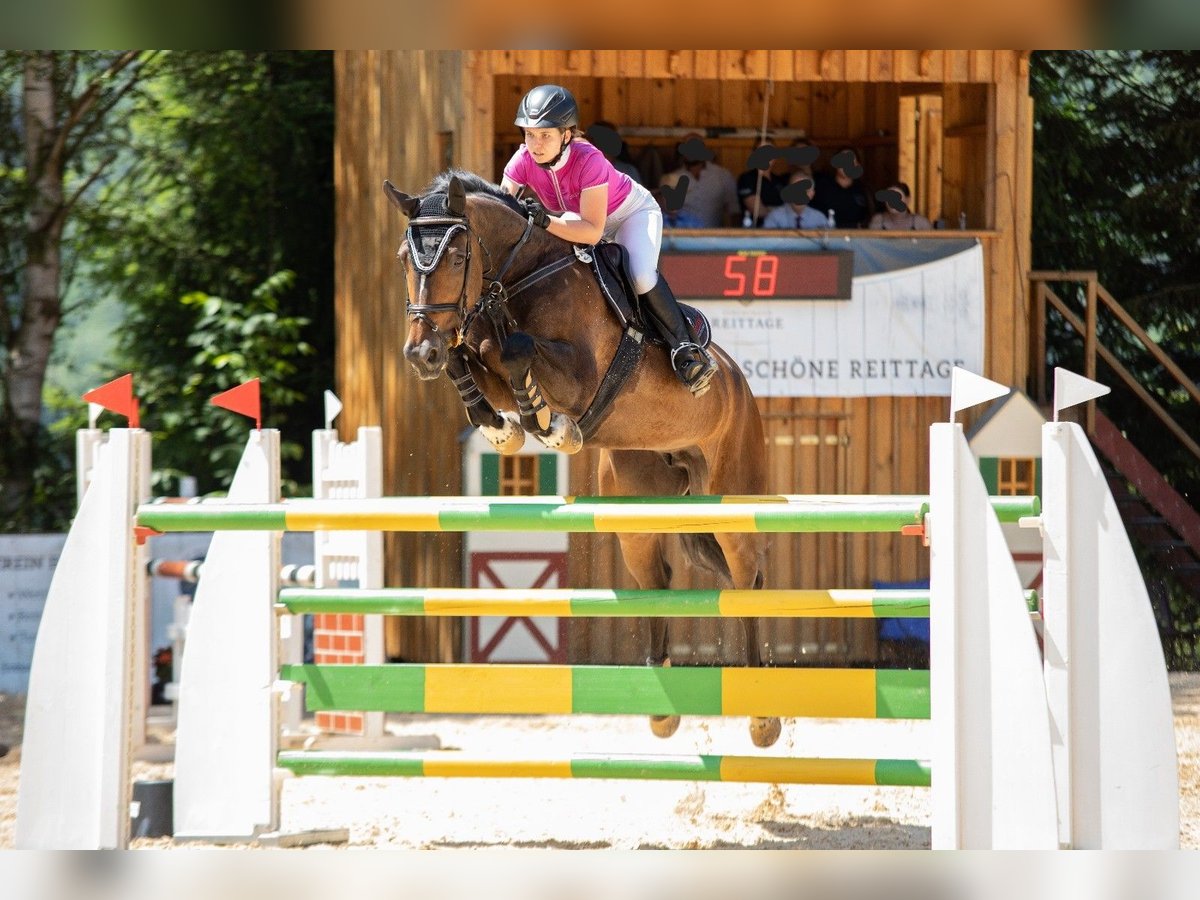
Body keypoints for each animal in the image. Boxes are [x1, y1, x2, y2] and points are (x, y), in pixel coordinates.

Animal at [388, 172, 782, 748]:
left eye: (458, 257)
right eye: (403, 259)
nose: (420, 354)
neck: (516, 278)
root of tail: (739, 384)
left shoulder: (580, 376)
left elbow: (513, 349)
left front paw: (547, 424)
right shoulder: (477, 347)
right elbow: (471, 355)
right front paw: (505, 427)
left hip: (733, 496)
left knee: (747, 577)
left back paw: (762, 717)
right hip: (638, 509)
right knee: (658, 580)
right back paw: (663, 709)